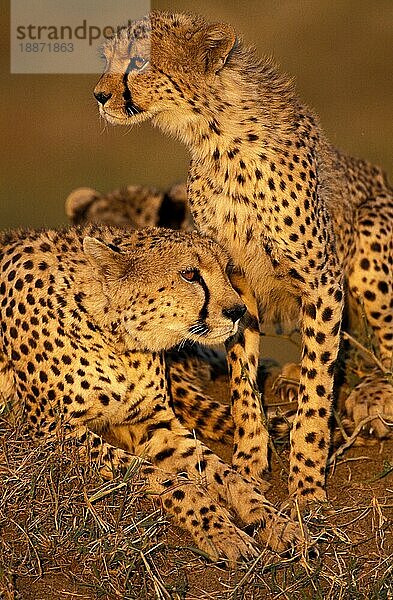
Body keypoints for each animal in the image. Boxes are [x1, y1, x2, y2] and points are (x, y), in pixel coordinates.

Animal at [0, 225, 304, 564]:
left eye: (226, 270)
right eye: (189, 274)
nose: (238, 311)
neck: (116, 334)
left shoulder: (154, 422)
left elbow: (223, 472)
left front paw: (272, 520)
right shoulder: (53, 431)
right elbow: (169, 480)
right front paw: (220, 530)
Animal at [94, 10, 392, 506]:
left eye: (137, 63)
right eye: (108, 59)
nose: (99, 96)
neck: (216, 136)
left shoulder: (321, 278)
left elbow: (317, 388)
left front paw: (306, 483)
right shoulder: (231, 280)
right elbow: (241, 379)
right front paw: (251, 462)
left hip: (371, 231)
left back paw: (374, 392)